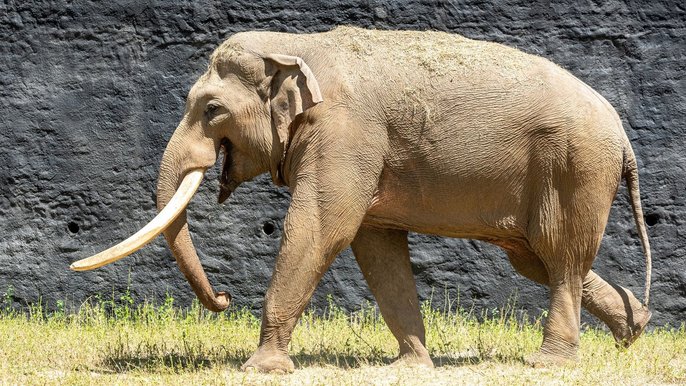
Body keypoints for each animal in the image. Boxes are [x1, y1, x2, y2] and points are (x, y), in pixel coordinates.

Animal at [72, 26, 652, 370]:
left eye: (212, 109)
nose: (223, 299)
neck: (298, 45)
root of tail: (623, 136)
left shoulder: (345, 135)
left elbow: (321, 226)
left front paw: (261, 369)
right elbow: (376, 245)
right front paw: (411, 368)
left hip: (576, 168)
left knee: (561, 257)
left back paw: (550, 364)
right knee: (537, 259)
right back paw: (635, 329)